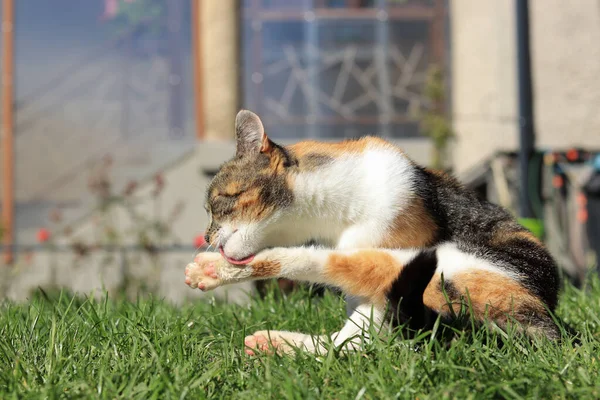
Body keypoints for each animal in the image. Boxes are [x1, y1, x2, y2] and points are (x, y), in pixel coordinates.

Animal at [184, 108, 564, 354]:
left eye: (218, 201)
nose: (207, 237)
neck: (334, 214)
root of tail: (544, 323)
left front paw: (215, 267)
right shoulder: (369, 302)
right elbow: (354, 338)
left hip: (446, 264)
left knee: (325, 264)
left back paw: (214, 272)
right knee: (342, 342)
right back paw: (275, 343)